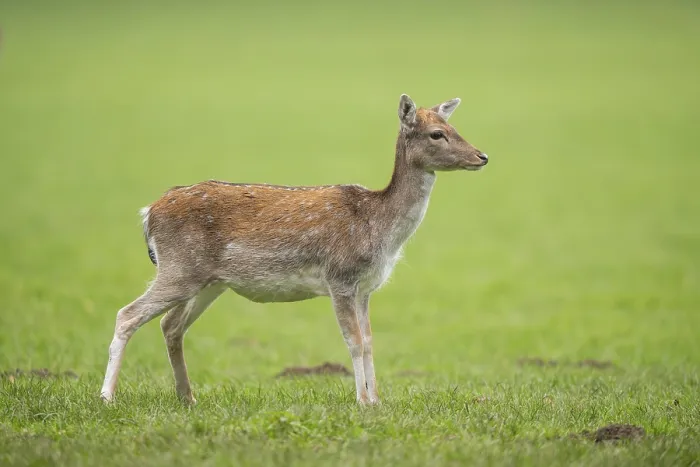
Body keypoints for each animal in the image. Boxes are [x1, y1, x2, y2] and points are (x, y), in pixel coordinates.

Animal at [100, 94, 489, 405]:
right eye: (437, 133)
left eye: (454, 126)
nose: (482, 156)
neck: (379, 227)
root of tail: (148, 213)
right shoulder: (340, 277)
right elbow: (353, 340)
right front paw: (363, 402)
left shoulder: (366, 287)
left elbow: (369, 340)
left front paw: (377, 400)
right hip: (179, 267)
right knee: (127, 314)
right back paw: (107, 397)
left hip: (207, 281)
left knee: (170, 325)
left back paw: (187, 397)